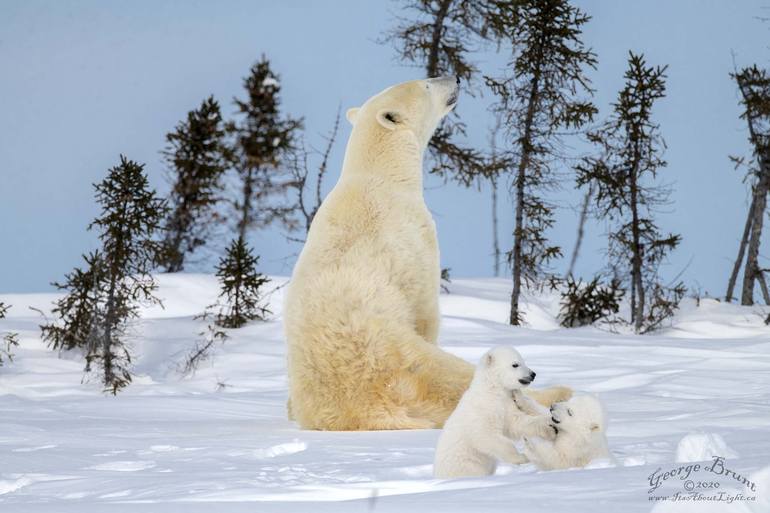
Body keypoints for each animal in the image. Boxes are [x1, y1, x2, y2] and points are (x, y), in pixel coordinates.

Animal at [282, 75, 568, 428]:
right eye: (426, 85)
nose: (454, 77)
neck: (380, 175)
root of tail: (367, 410)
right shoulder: (416, 235)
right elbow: (425, 305)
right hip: (401, 359)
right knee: (454, 375)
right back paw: (557, 391)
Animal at [428, 346, 556, 478]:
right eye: (515, 364)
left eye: (523, 361)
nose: (532, 374)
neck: (492, 390)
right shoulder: (484, 408)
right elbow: (486, 435)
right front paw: (522, 457)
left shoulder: (506, 403)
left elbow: (516, 423)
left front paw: (548, 427)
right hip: (466, 464)